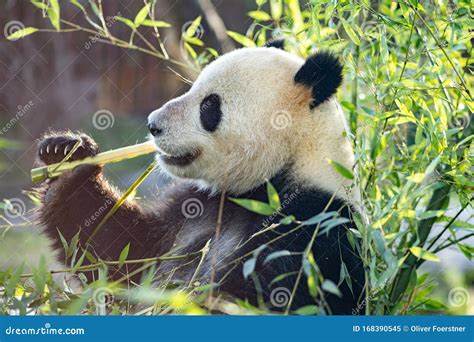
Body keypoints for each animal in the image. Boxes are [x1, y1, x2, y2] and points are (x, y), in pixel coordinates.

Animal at [36, 40, 366, 316]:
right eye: (191, 88)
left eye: (209, 105)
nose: (153, 125)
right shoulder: (194, 206)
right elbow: (122, 254)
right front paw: (68, 160)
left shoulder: (314, 228)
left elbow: (268, 297)